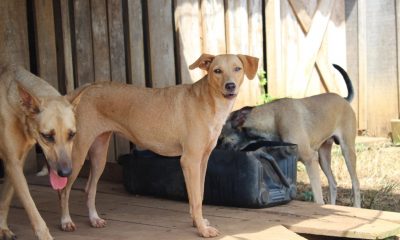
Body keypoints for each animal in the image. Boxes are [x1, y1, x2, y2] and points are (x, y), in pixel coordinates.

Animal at [0, 64, 87, 240]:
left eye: (72, 134)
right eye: (47, 136)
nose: (66, 173)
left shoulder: (14, 163)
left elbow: (5, 199)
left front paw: (2, 228)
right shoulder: (13, 164)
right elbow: (32, 209)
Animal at [59, 53, 260, 237]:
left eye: (237, 69)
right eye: (217, 71)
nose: (230, 86)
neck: (210, 102)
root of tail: (87, 88)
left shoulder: (202, 161)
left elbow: (199, 194)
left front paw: (198, 222)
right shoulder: (190, 161)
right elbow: (196, 199)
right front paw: (202, 230)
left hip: (99, 155)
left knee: (89, 189)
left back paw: (94, 219)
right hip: (77, 156)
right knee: (63, 189)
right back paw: (66, 221)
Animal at [219, 64, 362, 208]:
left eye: (220, 138)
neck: (273, 118)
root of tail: (344, 99)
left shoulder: (310, 160)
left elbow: (318, 198)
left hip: (347, 151)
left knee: (355, 183)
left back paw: (356, 207)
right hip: (323, 156)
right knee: (333, 183)